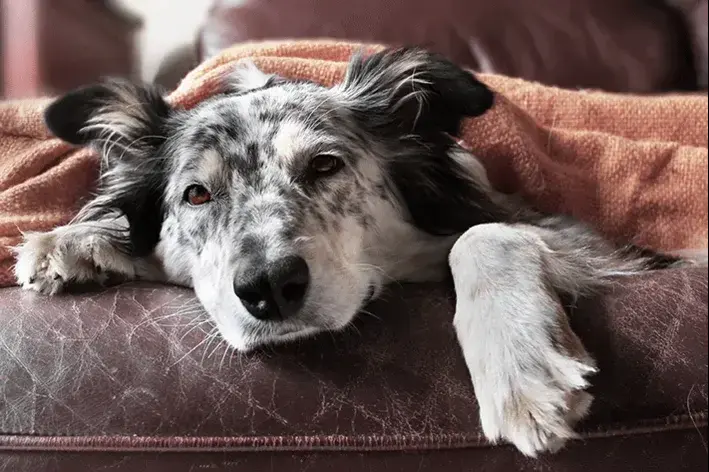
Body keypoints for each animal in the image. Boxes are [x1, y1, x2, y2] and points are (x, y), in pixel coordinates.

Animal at [12, 48, 704, 458]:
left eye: (324, 165)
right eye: (197, 194)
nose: (269, 287)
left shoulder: (585, 238)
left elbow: (483, 234)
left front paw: (521, 370)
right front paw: (72, 242)